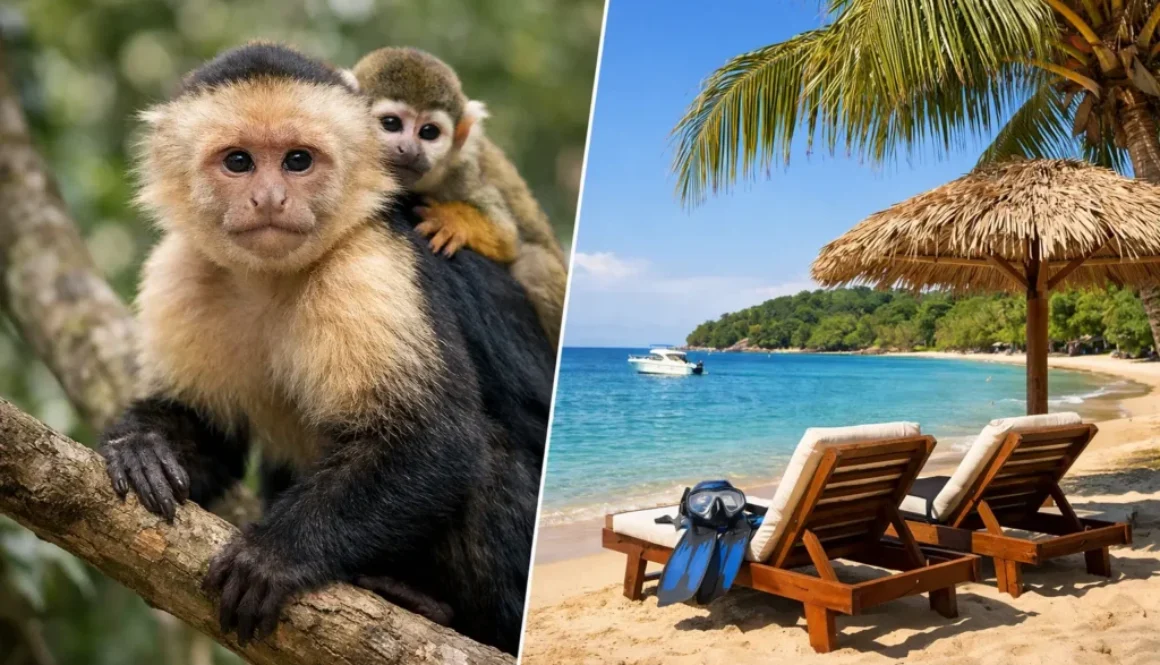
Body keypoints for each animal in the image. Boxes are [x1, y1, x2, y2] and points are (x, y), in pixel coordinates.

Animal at [350, 47, 569, 350]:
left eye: (429, 132)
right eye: (391, 124)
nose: (410, 150)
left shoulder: (463, 170)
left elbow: (506, 235)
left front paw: (453, 222)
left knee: (536, 266)